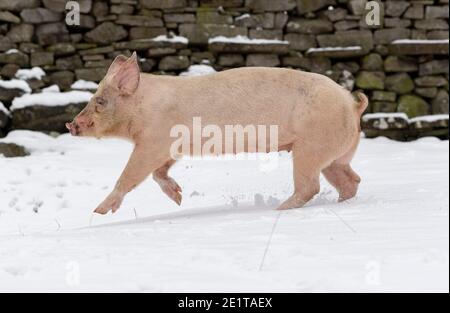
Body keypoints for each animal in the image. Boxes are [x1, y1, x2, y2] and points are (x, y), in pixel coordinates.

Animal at [67, 52, 370, 213]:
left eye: (100, 101)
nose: (71, 125)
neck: (142, 108)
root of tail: (352, 104)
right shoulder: (170, 147)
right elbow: (158, 173)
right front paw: (179, 198)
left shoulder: (154, 142)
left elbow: (130, 175)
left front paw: (97, 212)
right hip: (335, 153)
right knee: (351, 179)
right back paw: (342, 202)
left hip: (310, 146)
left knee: (310, 186)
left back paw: (278, 209)